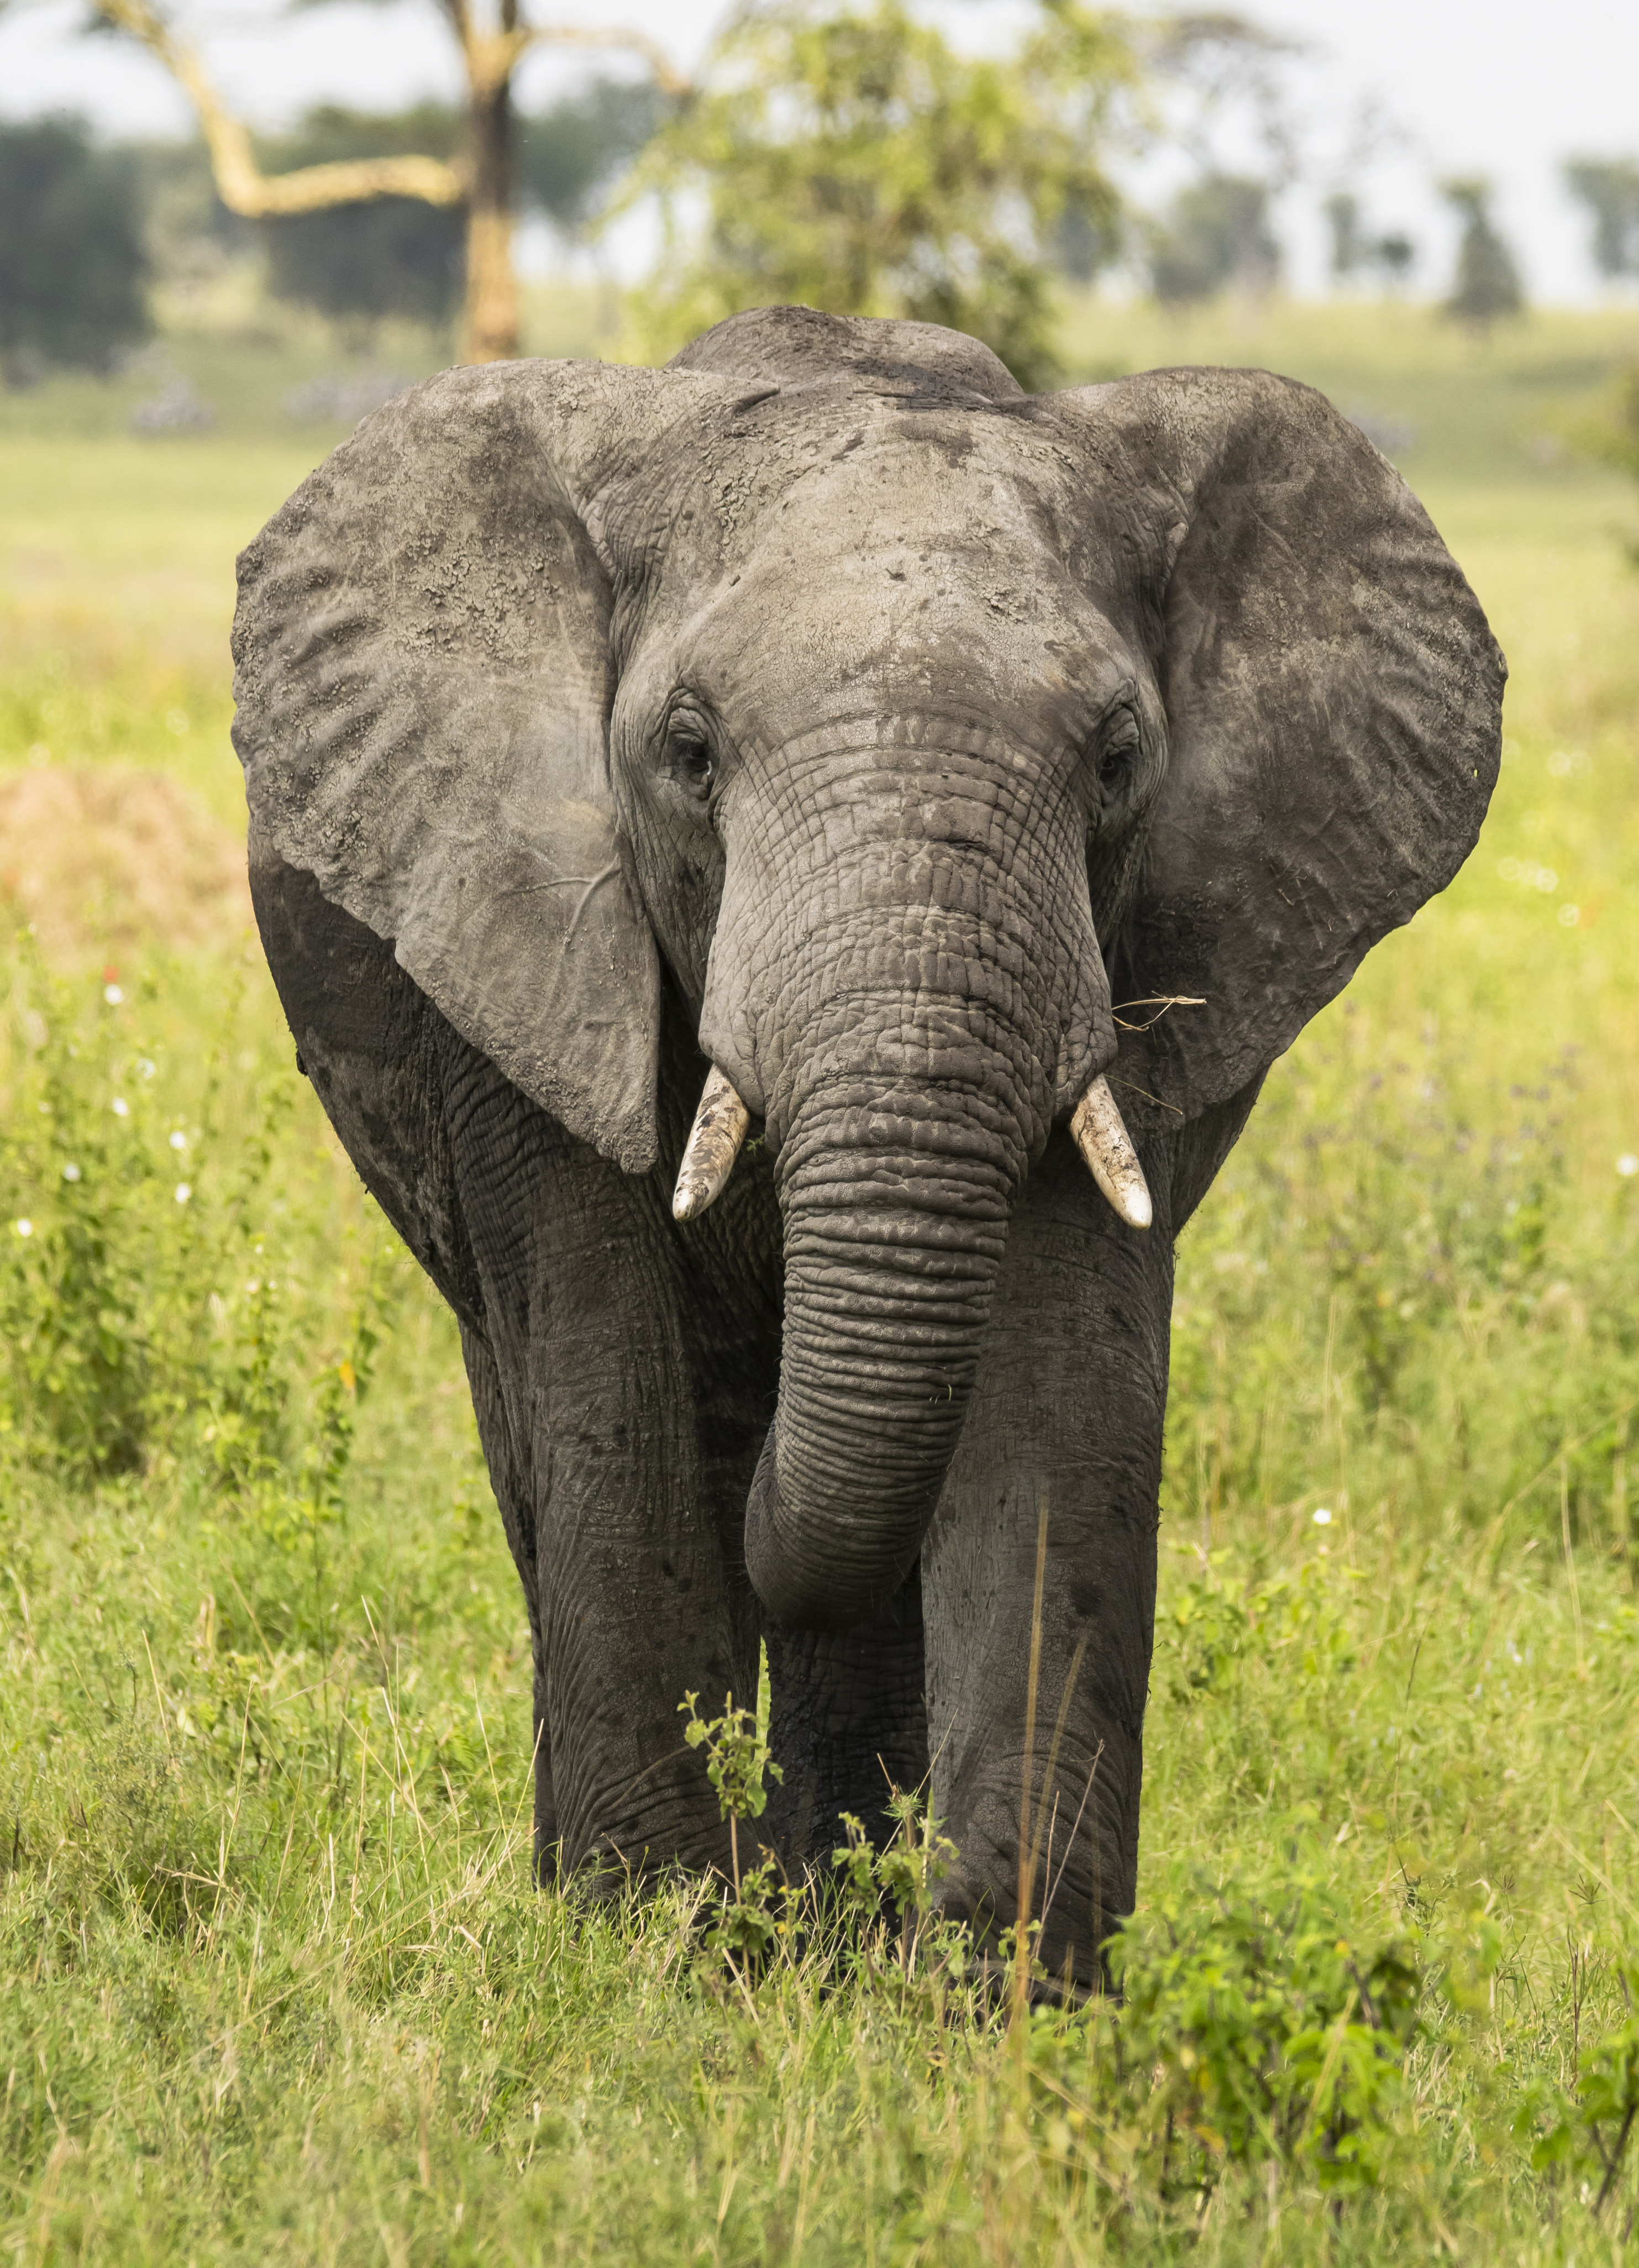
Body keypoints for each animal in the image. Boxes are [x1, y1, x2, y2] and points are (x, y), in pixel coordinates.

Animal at [232, 304, 1504, 1992]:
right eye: (688, 752)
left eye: (1116, 762)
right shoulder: (510, 937)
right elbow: (610, 1382)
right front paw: (652, 1960)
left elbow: (1054, 1400)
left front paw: (1002, 2003)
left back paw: (828, 1932)